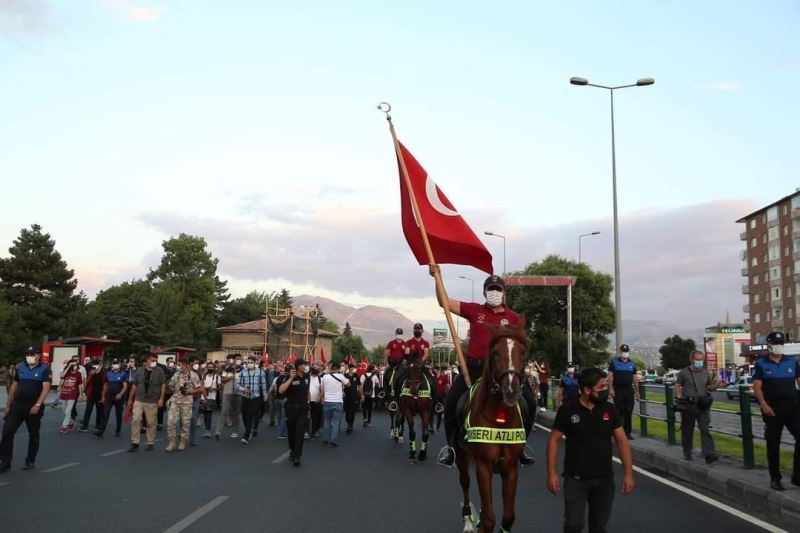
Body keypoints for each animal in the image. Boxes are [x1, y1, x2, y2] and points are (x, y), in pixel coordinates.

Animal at [456, 318, 524, 528]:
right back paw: (468, 518)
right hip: (461, 454)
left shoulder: (511, 467)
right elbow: (488, 518)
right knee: (465, 481)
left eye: (522, 352)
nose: (511, 390)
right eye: (495, 353)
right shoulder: (483, 466)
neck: (500, 418)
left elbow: (508, 516)